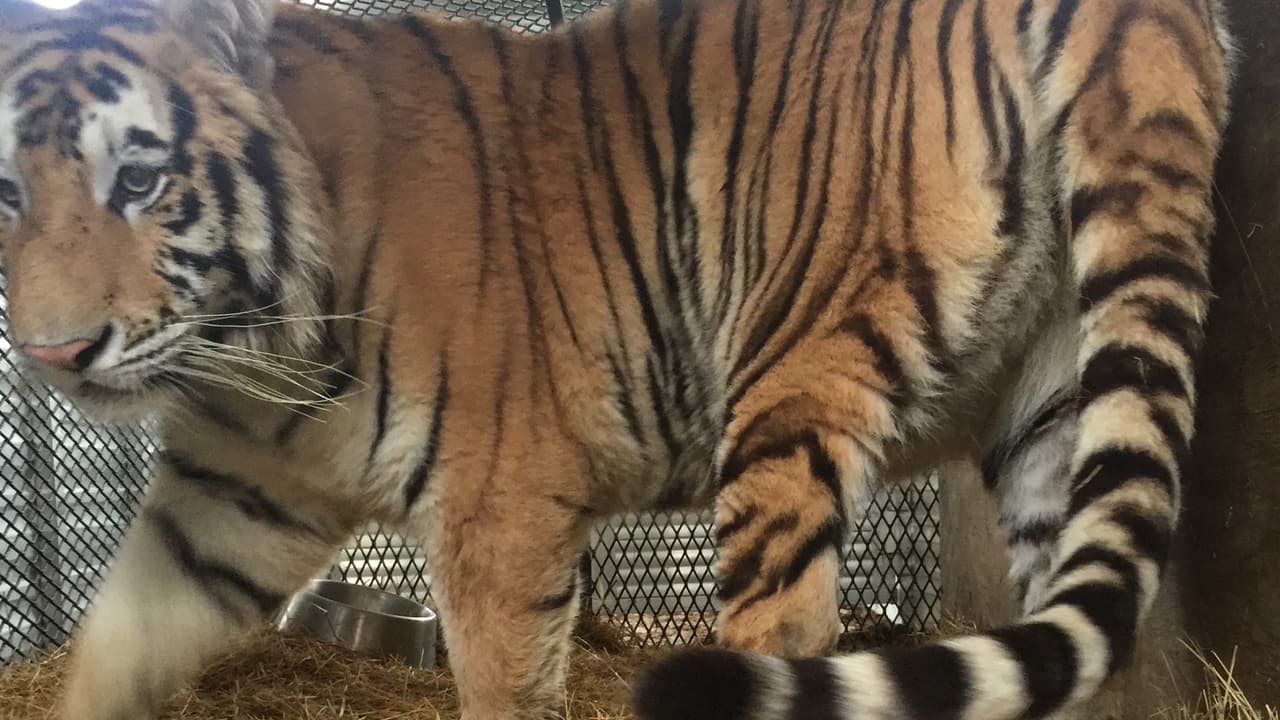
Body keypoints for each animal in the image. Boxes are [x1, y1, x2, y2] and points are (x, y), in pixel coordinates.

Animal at [0, 0, 1234, 716]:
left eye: (140, 179)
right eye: (9, 190)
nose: (54, 350)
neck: (249, 354)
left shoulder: (498, 518)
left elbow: (502, 691)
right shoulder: (227, 501)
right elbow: (113, 646)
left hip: (789, 372)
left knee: (788, 631)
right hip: (1056, 404)